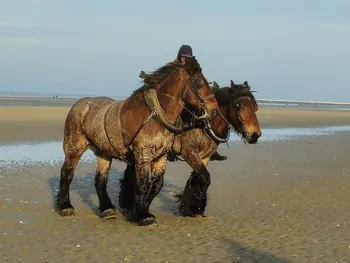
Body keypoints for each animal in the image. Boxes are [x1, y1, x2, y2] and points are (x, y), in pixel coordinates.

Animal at [56, 56, 223, 226]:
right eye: (199, 81)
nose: (214, 111)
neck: (156, 116)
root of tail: (78, 104)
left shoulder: (161, 156)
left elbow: (156, 185)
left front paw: (135, 211)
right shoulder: (143, 153)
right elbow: (142, 184)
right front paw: (143, 216)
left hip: (104, 153)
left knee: (100, 180)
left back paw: (107, 209)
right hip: (74, 148)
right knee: (67, 173)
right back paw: (65, 206)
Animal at [171, 80, 262, 217]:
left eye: (255, 106)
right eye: (237, 105)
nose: (255, 134)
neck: (203, 123)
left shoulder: (205, 155)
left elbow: (197, 178)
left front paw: (190, 208)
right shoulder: (189, 152)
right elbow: (205, 178)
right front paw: (194, 208)